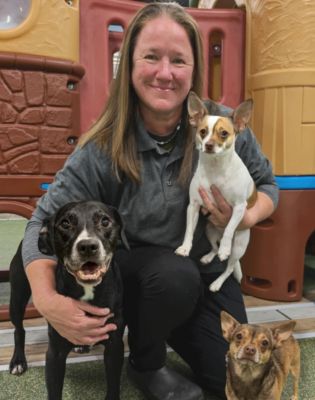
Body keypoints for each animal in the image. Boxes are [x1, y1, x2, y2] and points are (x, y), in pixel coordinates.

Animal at [9, 202, 129, 398]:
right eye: (65, 223)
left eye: (105, 221)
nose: (87, 246)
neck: (87, 289)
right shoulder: (55, 353)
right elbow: (54, 390)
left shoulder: (115, 346)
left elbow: (113, 384)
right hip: (17, 298)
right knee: (19, 329)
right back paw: (18, 361)